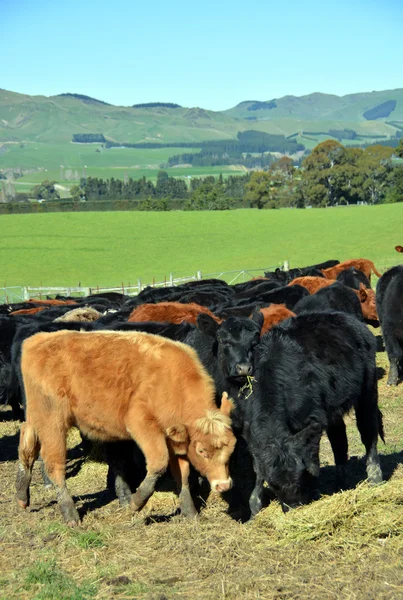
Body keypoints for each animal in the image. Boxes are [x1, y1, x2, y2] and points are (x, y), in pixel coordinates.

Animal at [15, 328, 237, 524]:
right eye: (201, 451)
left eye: (231, 449)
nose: (223, 485)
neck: (170, 380)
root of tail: (37, 340)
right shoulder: (141, 425)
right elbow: (159, 463)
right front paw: (136, 502)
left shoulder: (174, 439)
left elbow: (181, 474)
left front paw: (190, 512)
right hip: (53, 422)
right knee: (54, 464)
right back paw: (70, 513)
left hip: (36, 418)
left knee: (27, 445)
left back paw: (22, 493)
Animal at [240, 310, 386, 516]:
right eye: (274, 485)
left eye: (299, 478)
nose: (293, 507)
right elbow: (258, 467)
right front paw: (255, 504)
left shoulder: (313, 421)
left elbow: (311, 458)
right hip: (333, 411)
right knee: (339, 440)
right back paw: (341, 482)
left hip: (368, 390)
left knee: (368, 431)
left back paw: (375, 477)